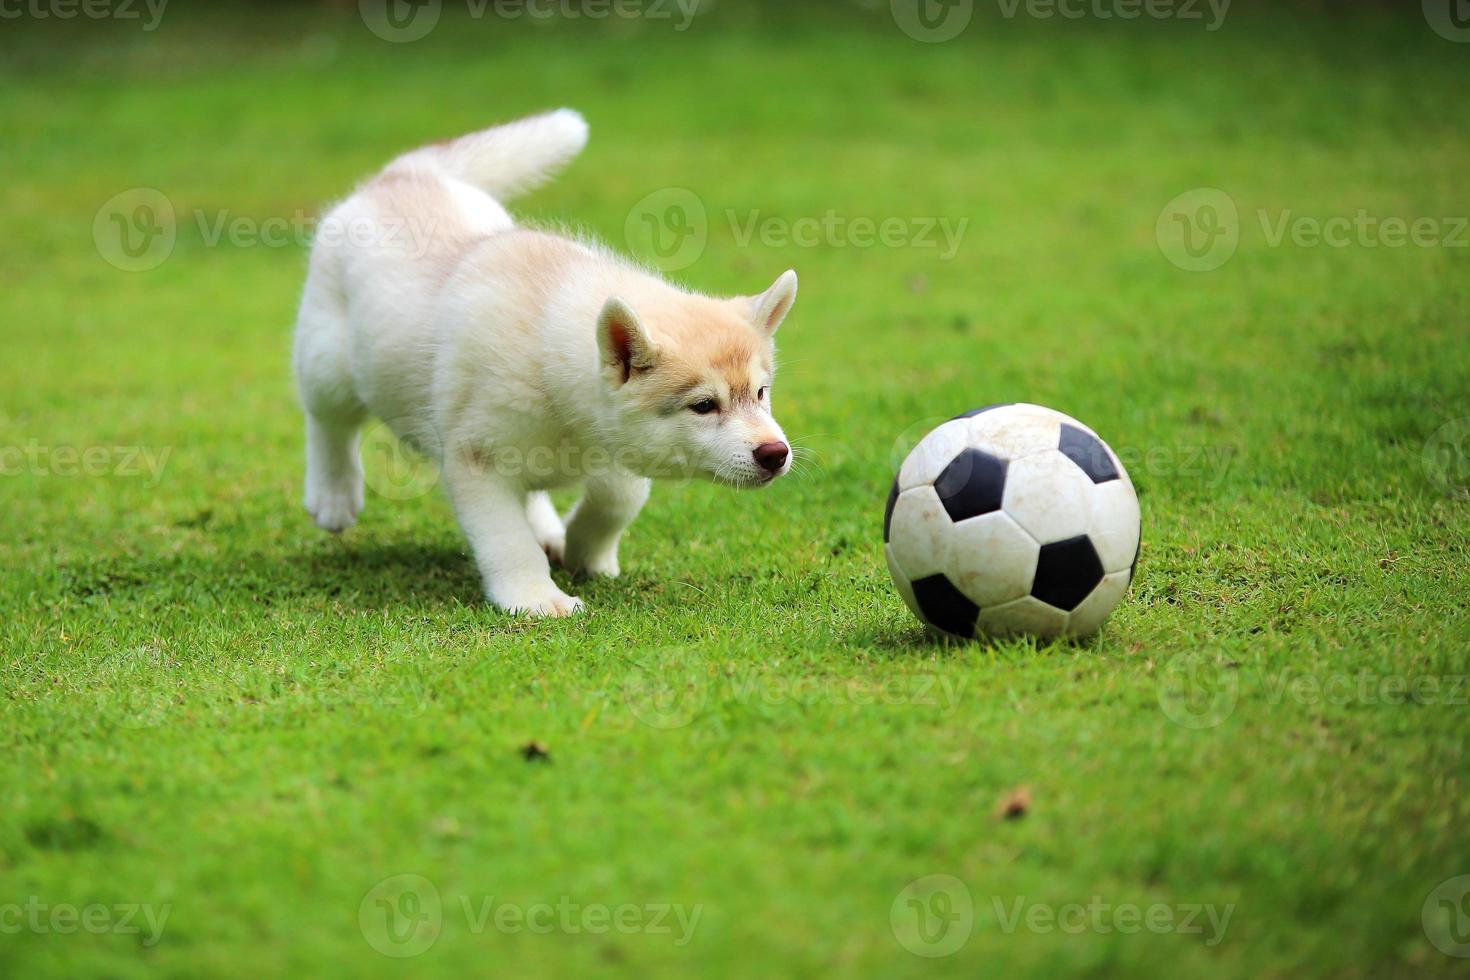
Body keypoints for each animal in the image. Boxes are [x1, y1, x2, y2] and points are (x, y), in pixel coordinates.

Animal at [292, 107, 799, 614]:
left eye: (760, 393)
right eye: (704, 406)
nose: (776, 453)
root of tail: (407, 174)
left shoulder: (613, 443)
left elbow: (619, 499)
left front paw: (586, 551)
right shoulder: (476, 460)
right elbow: (506, 538)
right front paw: (535, 597)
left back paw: (548, 529)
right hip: (328, 362)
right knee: (328, 422)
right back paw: (334, 494)